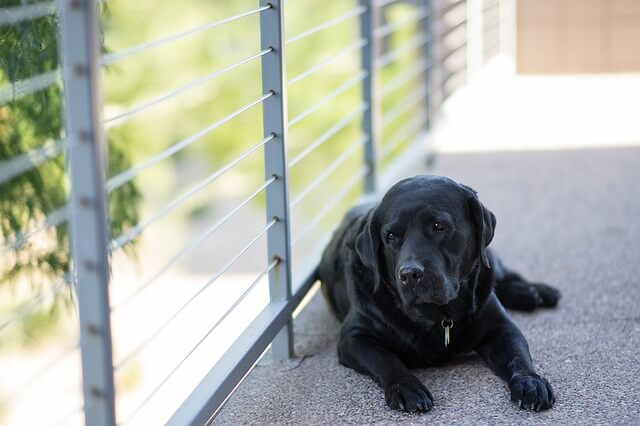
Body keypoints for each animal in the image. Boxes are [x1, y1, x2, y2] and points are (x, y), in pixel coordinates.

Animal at [318, 174, 560, 412]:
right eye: (391, 236)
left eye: (438, 226)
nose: (409, 274)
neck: (435, 317)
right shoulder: (354, 337)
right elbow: (386, 359)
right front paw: (407, 387)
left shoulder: (501, 327)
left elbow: (518, 356)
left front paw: (531, 382)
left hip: (491, 264)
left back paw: (538, 292)